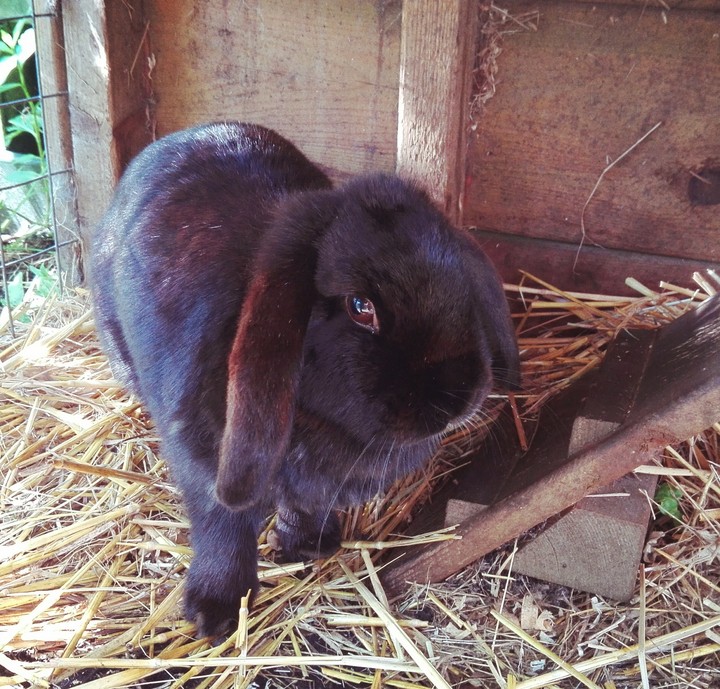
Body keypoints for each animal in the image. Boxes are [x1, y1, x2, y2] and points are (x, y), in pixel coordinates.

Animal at [87, 121, 520, 638]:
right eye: (360, 306)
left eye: (461, 282)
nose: (459, 400)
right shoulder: (204, 463)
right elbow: (222, 526)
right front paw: (216, 611)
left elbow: (307, 506)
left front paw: (309, 546)